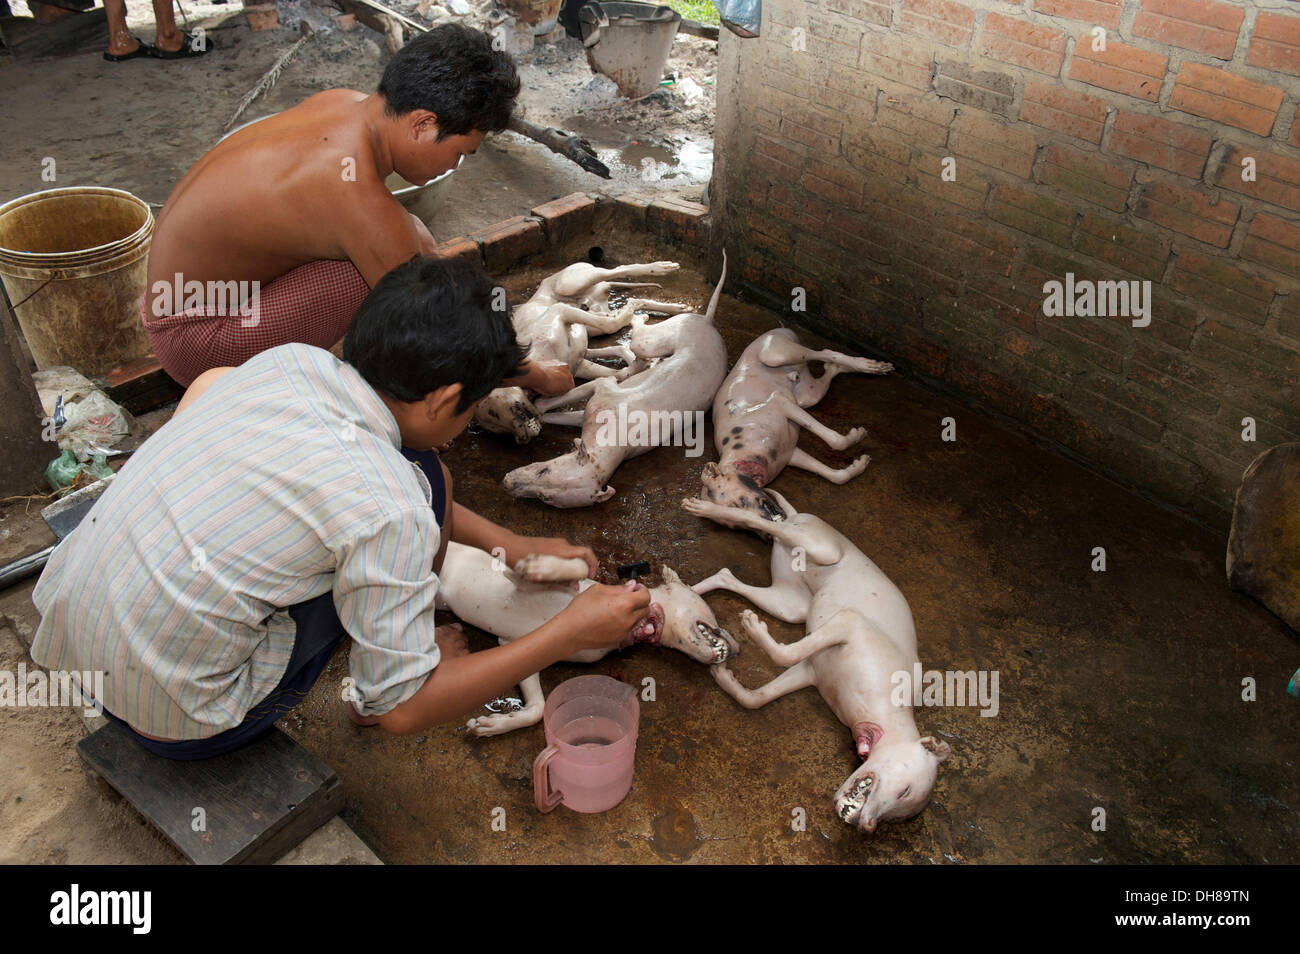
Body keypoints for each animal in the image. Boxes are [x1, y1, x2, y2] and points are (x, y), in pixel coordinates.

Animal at [436, 540, 738, 738]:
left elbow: (537, 709)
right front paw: (540, 565)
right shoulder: (519, 580)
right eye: (710, 611)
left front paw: (494, 725)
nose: (737, 649)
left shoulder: (516, 646)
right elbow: (579, 566)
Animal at [473, 259, 686, 441]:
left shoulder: (559, 311)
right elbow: (621, 372)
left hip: (570, 283)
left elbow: (610, 323)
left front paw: (626, 315)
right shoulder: (581, 365)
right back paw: (673, 308)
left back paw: (660, 269)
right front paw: (640, 361)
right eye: (501, 430)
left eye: (515, 410)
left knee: (619, 270)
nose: (524, 439)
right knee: (627, 303)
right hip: (591, 318)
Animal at [501, 252, 733, 509]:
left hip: (646, 339)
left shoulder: (594, 405)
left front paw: (537, 411)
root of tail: (708, 321)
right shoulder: (601, 390)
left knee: (634, 337)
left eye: (546, 497)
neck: (613, 439)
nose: (506, 482)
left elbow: (546, 409)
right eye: (544, 470)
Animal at [686, 488, 951, 831]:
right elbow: (786, 651)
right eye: (904, 791)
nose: (865, 826)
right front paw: (753, 629)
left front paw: (726, 677)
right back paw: (707, 509)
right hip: (822, 547)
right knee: (766, 523)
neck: (880, 714)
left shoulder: (811, 671)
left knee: (727, 575)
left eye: (897, 817)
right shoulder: (850, 624)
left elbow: (758, 697)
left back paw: (689, 590)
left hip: (790, 603)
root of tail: (799, 515)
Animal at [702, 332, 894, 519]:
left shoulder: (780, 402)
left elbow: (836, 441)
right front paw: (858, 465)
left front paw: (857, 436)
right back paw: (839, 367)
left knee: (824, 352)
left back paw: (870, 365)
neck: (743, 448)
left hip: (775, 352)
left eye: (738, 503)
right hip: (808, 395)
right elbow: (836, 476)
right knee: (826, 376)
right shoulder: (790, 454)